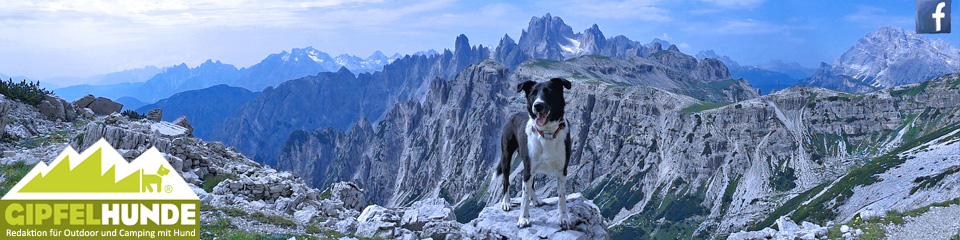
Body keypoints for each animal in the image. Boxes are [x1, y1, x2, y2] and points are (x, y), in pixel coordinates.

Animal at [498, 78, 572, 230]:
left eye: (549, 92)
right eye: (533, 93)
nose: (537, 105)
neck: (547, 133)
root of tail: (513, 115)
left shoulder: (562, 170)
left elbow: (561, 196)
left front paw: (564, 218)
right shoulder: (528, 167)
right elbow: (524, 198)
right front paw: (523, 219)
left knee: (530, 183)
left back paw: (536, 200)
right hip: (507, 157)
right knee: (506, 180)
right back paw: (506, 202)